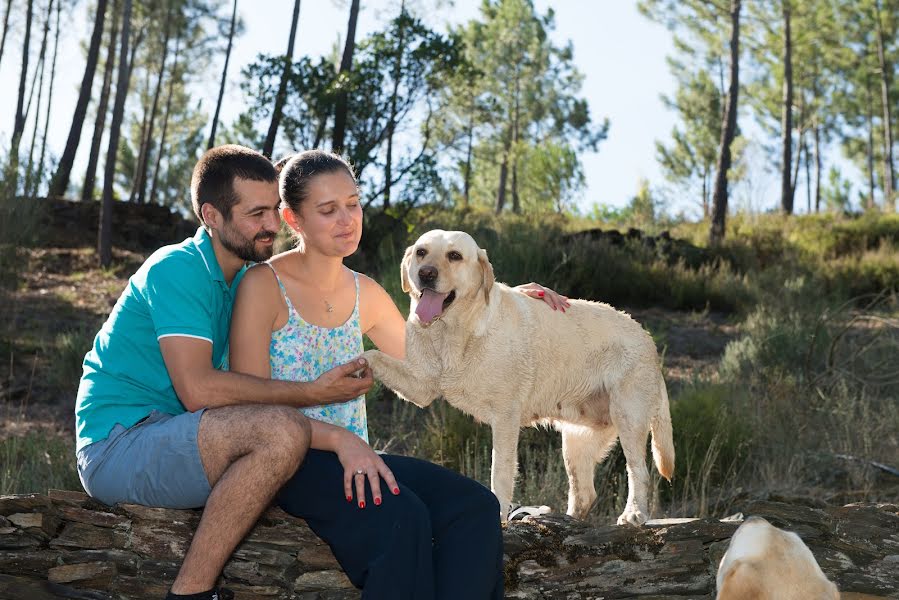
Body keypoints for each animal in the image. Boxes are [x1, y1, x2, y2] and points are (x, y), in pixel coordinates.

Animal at [362, 230, 672, 524]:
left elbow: (499, 472)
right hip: (576, 441)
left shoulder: (505, 417)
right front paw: (355, 365)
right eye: (421, 252)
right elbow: (373, 355)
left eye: (454, 256)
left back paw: (633, 514)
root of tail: (647, 338)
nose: (425, 273)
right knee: (585, 493)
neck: (454, 331)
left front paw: (499, 514)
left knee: (639, 472)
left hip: (628, 419)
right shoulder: (421, 387)